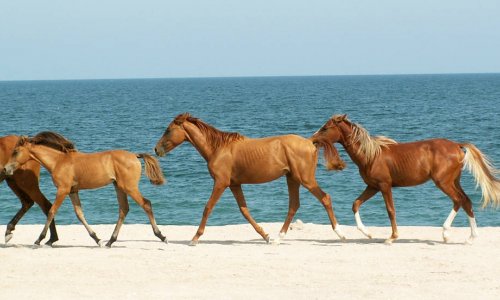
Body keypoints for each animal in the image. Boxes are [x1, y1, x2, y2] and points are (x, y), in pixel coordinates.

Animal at [2, 131, 167, 246]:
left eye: (15, 151)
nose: (5, 169)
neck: (58, 161)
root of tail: (135, 155)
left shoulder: (63, 190)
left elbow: (51, 211)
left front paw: (39, 239)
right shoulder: (73, 191)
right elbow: (79, 214)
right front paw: (97, 239)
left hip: (129, 187)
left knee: (146, 204)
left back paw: (161, 236)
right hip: (119, 187)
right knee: (123, 209)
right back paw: (110, 241)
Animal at [156, 112, 348, 246]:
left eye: (168, 130)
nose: (156, 149)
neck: (218, 148)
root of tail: (310, 142)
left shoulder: (220, 183)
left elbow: (208, 208)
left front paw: (195, 238)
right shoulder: (234, 185)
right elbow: (245, 211)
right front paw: (266, 236)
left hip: (306, 179)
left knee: (325, 198)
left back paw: (340, 234)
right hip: (292, 179)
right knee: (294, 205)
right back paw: (277, 238)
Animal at [312, 114, 500, 244]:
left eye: (325, 128)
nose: (313, 140)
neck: (371, 155)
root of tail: (457, 145)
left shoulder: (384, 186)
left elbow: (390, 210)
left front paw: (392, 237)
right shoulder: (372, 187)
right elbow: (356, 204)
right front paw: (367, 233)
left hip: (443, 182)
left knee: (458, 200)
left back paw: (446, 234)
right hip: (454, 181)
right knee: (466, 201)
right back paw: (470, 237)